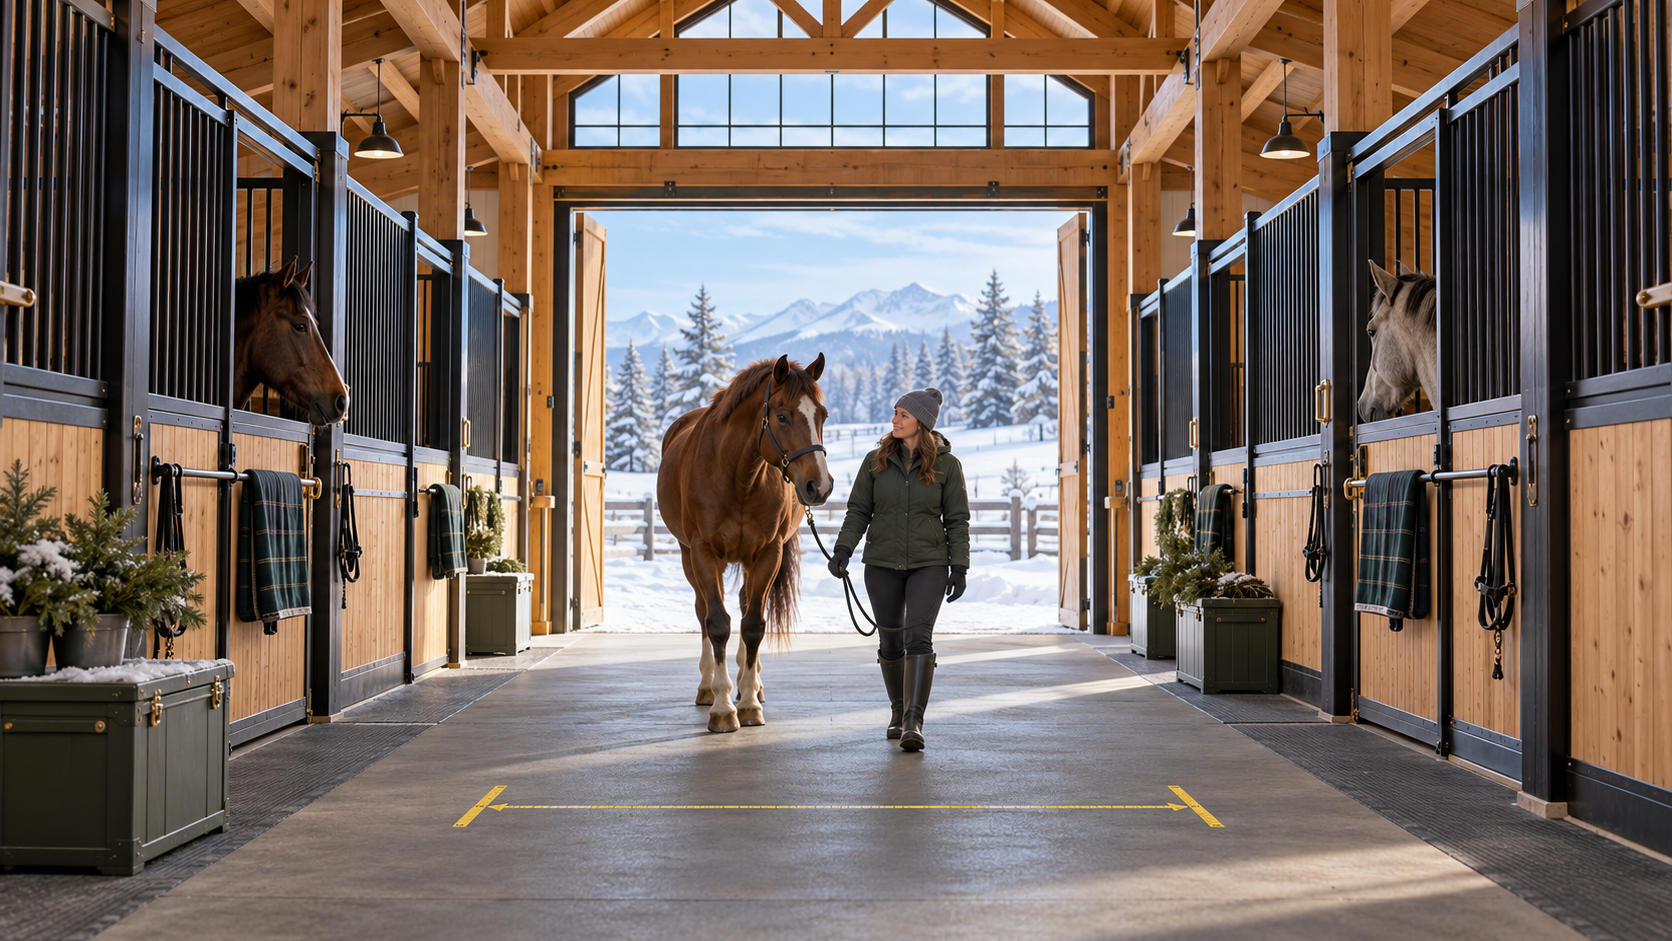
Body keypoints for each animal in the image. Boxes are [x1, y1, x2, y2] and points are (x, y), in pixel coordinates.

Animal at [657, 354, 834, 733]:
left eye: (822, 415)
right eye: (781, 416)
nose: (820, 486)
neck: (738, 476)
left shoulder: (768, 553)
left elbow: (753, 624)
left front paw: (749, 701)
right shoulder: (703, 553)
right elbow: (717, 623)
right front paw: (723, 707)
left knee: (742, 604)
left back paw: (749, 683)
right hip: (688, 556)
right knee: (703, 611)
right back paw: (708, 686)